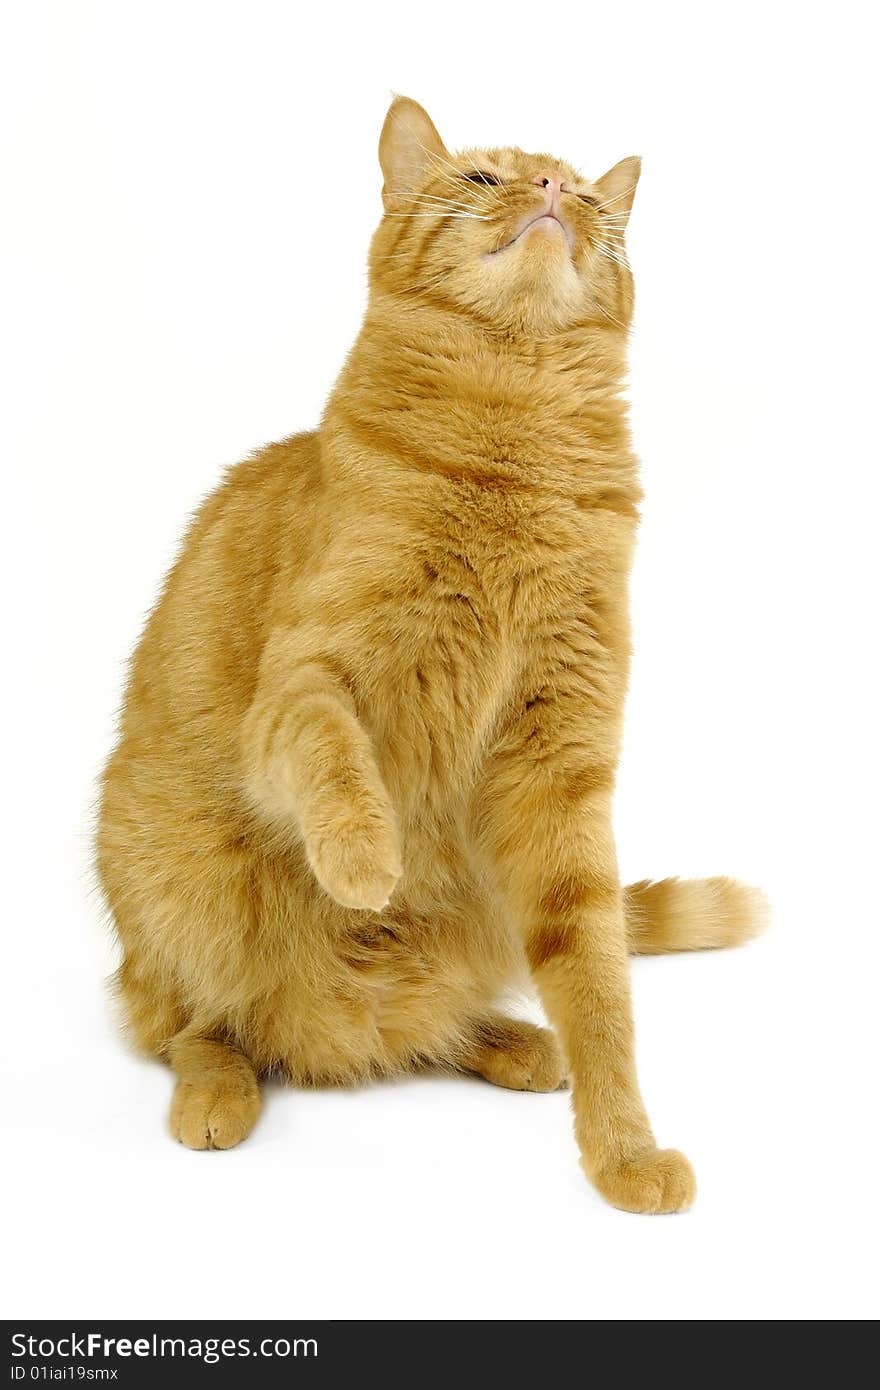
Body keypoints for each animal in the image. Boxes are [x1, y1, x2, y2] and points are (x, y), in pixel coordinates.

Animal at [99, 97, 767, 1212]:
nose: (553, 192)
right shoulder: (306, 684)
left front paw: (623, 1152)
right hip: (179, 896)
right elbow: (335, 758)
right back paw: (220, 1089)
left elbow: (597, 976)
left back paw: (511, 1041)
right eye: (488, 177)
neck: (511, 461)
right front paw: (368, 860)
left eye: (588, 199)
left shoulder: (562, 767)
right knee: (196, 1022)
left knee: (425, 1023)